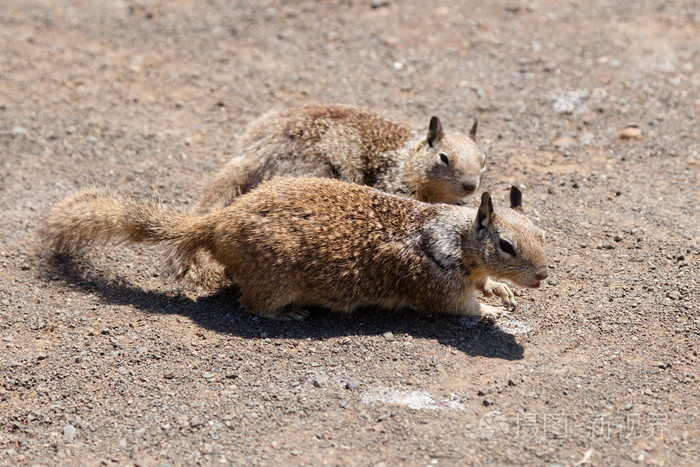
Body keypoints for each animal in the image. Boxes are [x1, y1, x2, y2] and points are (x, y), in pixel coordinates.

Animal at [43, 178, 548, 322]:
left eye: (541, 232)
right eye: (506, 245)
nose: (544, 275)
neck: (457, 240)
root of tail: (217, 223)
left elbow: (485, 286)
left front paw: (499, 291)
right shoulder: (437, 286)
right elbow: (462, 307)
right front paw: (491, 311)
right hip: (274, 281)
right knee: (250, 305)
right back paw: (288, 314)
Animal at [194, 105, 484, 213]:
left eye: (483, 161)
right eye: (444, 158)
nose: (470, 186)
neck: (407, 159)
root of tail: (253, 154)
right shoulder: (395, 184)